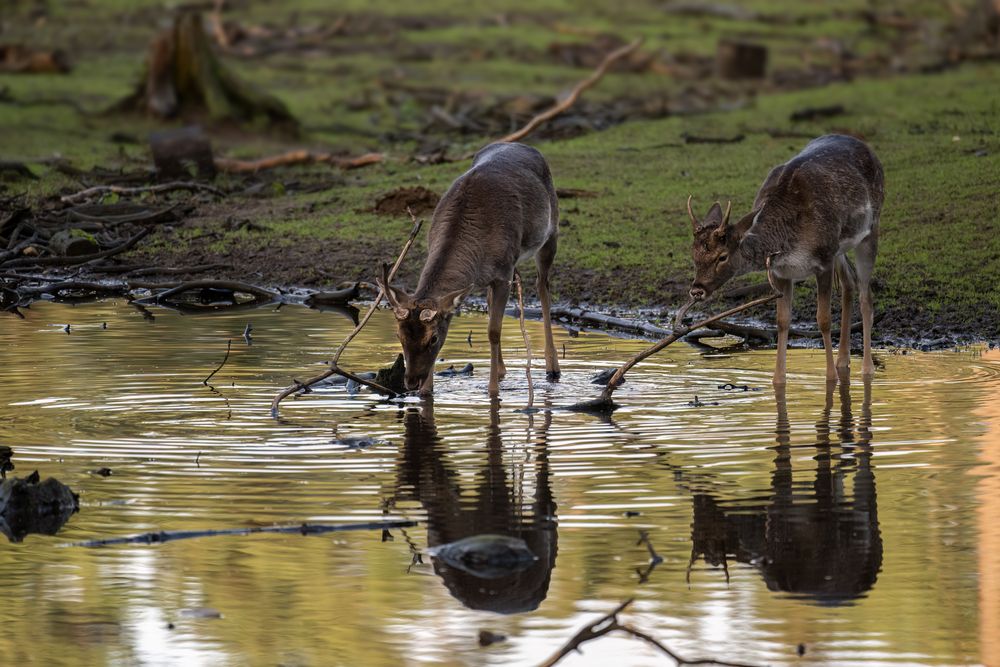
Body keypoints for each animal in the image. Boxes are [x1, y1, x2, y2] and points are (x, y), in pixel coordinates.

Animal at [376, 142, 564, 396]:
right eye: (399, 335)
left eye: (433, 338)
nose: (412, 382)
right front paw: (427, 392)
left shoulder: (504, 271)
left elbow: (493, 330)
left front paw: (493, 390)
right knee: (491, 299)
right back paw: (503, 370)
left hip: (550, 233)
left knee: (542, 286)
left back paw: (552, 367)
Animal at [688, 134, 884, 386]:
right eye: (694, 253)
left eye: (722, 257)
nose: (697, 290)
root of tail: (866, 147)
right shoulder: (780, 271)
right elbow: (782, 321)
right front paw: (778, 380)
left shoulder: (823, 260)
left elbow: (823, 319)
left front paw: (830, 378)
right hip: (840, 246)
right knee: (849, 283)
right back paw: (843, 361)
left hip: (870, 229)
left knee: (866, 297)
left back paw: (867, 369)